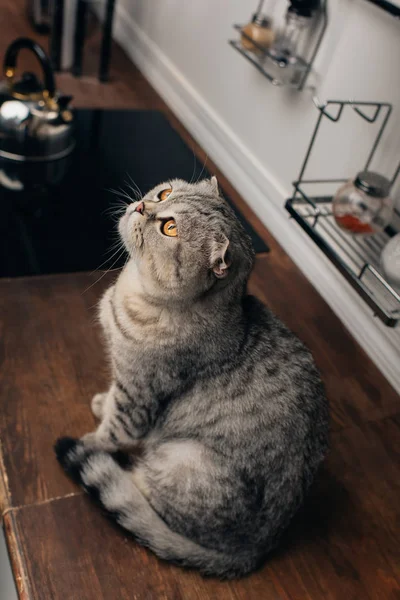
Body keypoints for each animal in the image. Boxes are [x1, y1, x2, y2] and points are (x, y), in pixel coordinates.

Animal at [55, 177, 328, 576]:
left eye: (170, 227)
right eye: (165, 194)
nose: (142, 206)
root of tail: (258, 548)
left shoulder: (138, 396)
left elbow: (112, 432)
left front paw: (92, 440)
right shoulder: (123, 379)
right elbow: (111, 401)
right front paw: (101, 402)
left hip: (182, 457)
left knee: (143, 496)